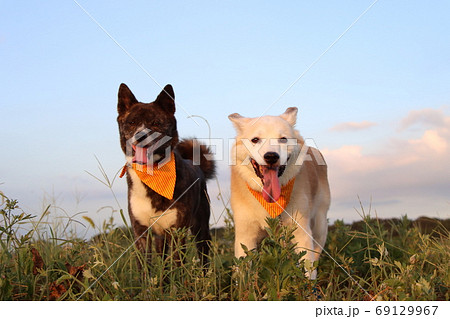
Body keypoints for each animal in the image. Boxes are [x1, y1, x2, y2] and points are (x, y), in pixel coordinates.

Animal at [229, 108, 330, 280]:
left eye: (283, 139)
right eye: (255, 139)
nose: (271, 156)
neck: (269, 202)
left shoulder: (302, 232)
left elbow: (308, 271)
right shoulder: (245, 236)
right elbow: (243, 275)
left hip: (319, 226)